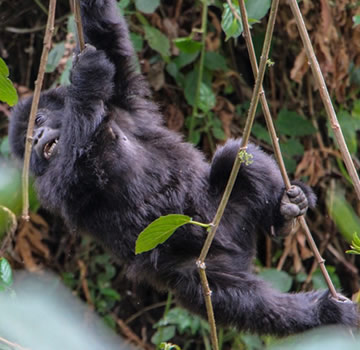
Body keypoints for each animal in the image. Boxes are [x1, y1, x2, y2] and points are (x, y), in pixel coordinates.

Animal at [7, 0, 358, 336]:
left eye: (38, 120)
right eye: (26, 140)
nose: (36, 138)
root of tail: (237, 248)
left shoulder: (122, 100)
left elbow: (107, 34)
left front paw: (87, 62)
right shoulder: (51, 186)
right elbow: (75, 167)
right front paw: (86, 81)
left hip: (228, 216)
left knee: (237, 157)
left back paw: (284, 213)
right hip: (198, 268)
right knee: (237, 299)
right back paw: (322, 313)